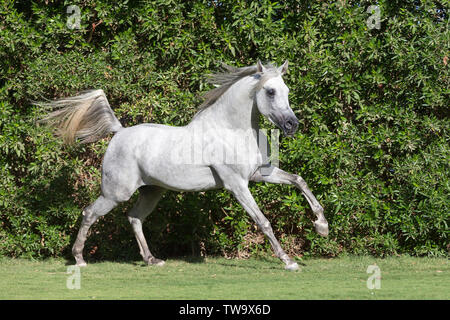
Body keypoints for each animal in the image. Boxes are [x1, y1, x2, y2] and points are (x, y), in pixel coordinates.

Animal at [39, 60, 326, 270]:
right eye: (270, 91)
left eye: (287, 91)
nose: (292, 125)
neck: (231, 129)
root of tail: (119, 132)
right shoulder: (237, 184)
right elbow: (263, 221)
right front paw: (288, 261)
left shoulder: (258, 174)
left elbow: (298, 180)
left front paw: (322, 226)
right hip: (115, 193)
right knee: (89, 213)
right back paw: (79, 259)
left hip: (151, 191)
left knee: (134, 217)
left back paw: (152, 259)